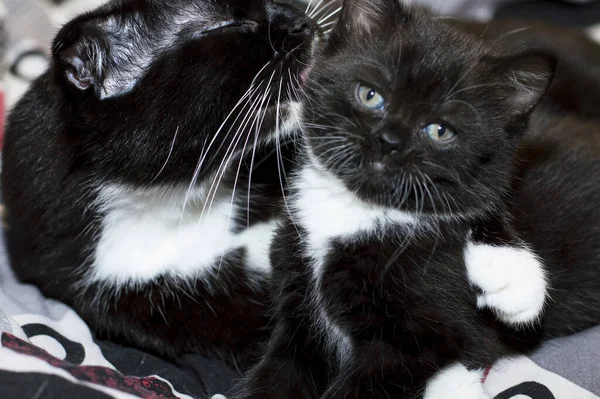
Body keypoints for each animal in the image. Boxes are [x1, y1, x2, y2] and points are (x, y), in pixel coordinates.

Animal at [237, 0, 600, 399]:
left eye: (440, 131)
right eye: (370, 95)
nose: (390, 141)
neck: (357, 212)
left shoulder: (422, 342)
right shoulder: (295, 309)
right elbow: (280, 371)